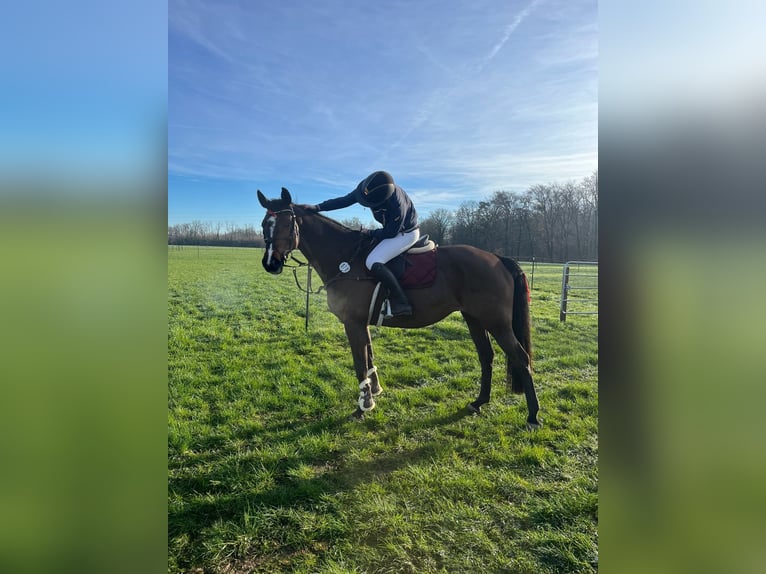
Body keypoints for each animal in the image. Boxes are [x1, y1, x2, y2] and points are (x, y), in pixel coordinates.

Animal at [257, 188, 541, 429]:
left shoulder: (353, 323)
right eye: (263, 225)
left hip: (497, 323)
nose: (270, 264)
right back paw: (479, 402)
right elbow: (369, 357)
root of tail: (497, 259)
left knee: (521, 358)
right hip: (475, 319)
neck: (345, 259)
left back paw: (533, 416)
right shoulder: (362, 324)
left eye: (285, 224)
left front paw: (363, 407)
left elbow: (360, 363)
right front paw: (374, 393)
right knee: (486, 356)